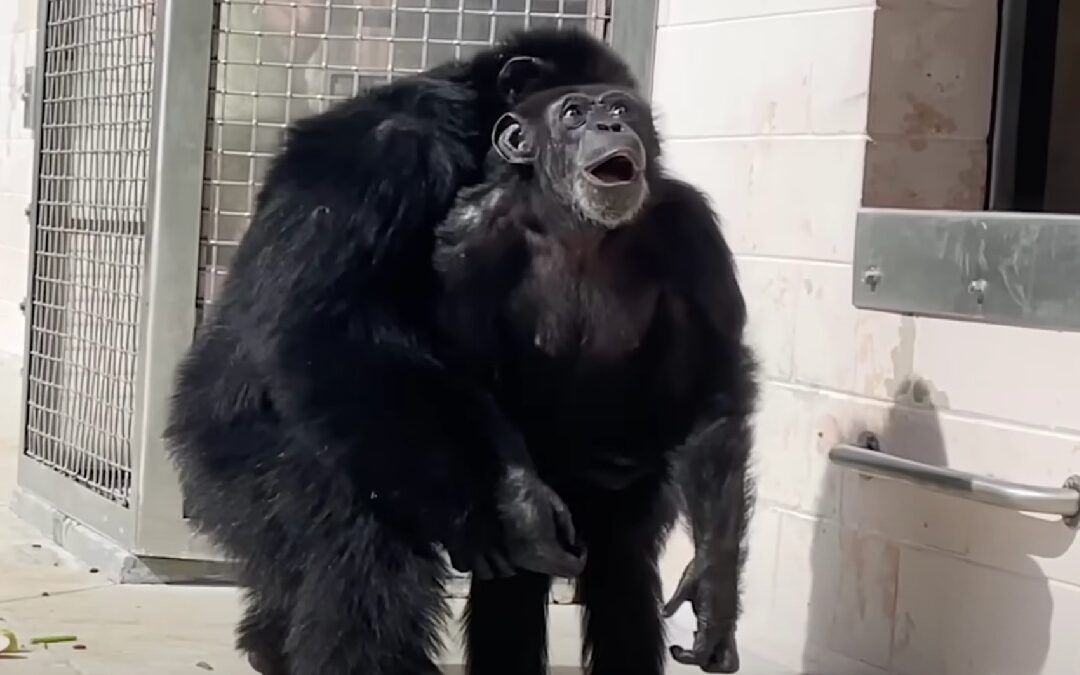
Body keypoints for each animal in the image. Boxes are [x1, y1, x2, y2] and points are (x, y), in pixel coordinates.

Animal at [434, 85, 756, 673]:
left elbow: (715, 378)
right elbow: (463, 366)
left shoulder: (692, 228)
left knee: (623, 571)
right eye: (574, 114)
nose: (608, 125)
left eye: (620, 108)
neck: (576, 224)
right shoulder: (467, 240)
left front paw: (712, 591)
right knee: (512, 593)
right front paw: (525, 510)